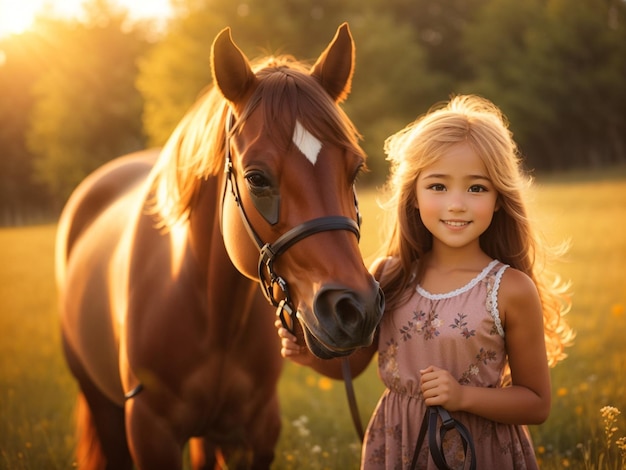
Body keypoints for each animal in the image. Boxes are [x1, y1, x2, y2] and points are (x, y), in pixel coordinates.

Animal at [56, 23, 382, 468]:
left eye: (356, 169)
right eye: (257, 178)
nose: (356, 309)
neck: (211, 311)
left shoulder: (253, 434)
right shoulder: (149, 432)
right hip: (100, 402)